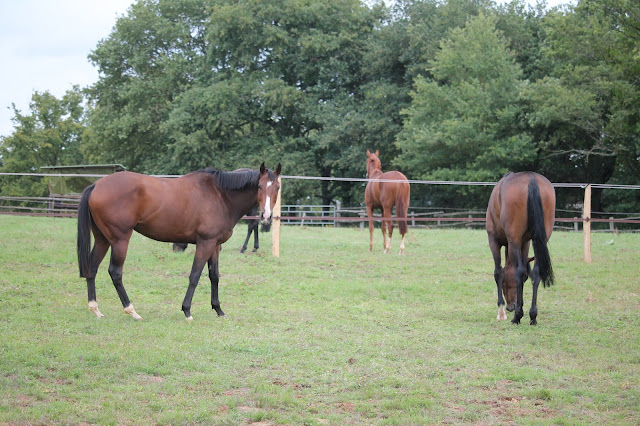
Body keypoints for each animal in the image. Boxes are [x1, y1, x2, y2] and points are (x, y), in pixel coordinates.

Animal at [76, 163, 282, 320]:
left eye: (277, 188)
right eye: (259, 186)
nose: (265, 216)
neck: (220, 194)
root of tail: (96, 185)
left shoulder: (215, 245)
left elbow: (214, 276)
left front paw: (218, 310)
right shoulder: (205, 243)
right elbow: (195, 275)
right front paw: (187, 311)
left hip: (103, 239)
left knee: (92, 268)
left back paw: (95, 309)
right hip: (120, 240)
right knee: (115, 272)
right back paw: (131, 311)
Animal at [484, 171, 556, 324]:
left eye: (505, 284)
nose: (510, 306)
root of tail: (531, 178)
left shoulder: (494, 240)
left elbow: (498, 272)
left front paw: (501, 311)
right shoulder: (525, 243)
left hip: (514, 239)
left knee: (519, 271)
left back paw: (517, 316)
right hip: (540, 239)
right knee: (536, 273)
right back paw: (533, 315)